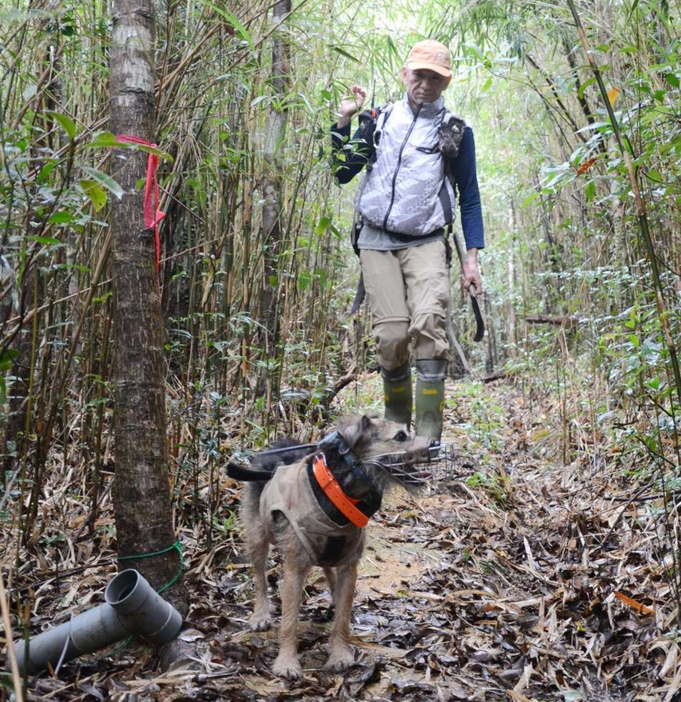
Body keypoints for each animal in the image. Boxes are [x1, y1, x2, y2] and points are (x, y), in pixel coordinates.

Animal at [226, 418, 432, 680]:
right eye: (400, 436)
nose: (433, 443)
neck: (339, 491)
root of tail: (279, 443)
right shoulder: (294, 567)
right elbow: (289, 620)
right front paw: (287, 662)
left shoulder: (349, 567)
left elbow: (342, 617)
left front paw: (340, 654)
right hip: (257, 535)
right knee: (260, 575)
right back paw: (261, 614)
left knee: (328, 572)